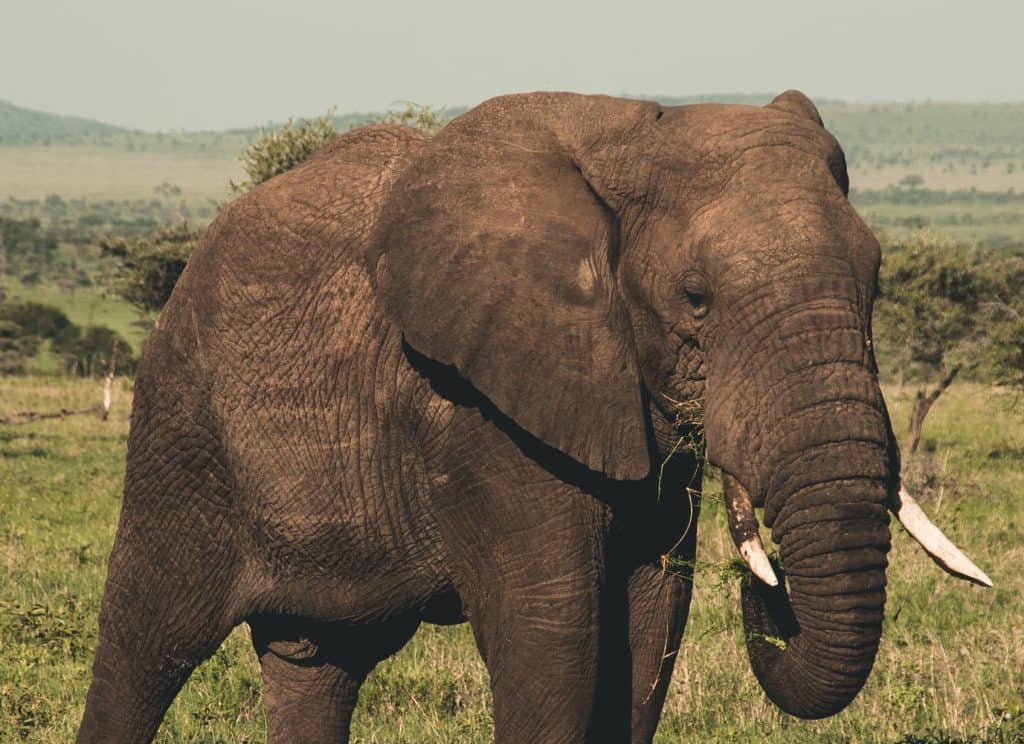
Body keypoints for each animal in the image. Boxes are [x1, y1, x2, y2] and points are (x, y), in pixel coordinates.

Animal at [75, 91, 987, 744]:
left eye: (877, 284)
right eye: (696, 299)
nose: (770, 588)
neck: (633, 133)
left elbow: (650, 622)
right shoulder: (478, 409)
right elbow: (552, 631)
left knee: (318, 663)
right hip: (183, 423)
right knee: (146, 642)